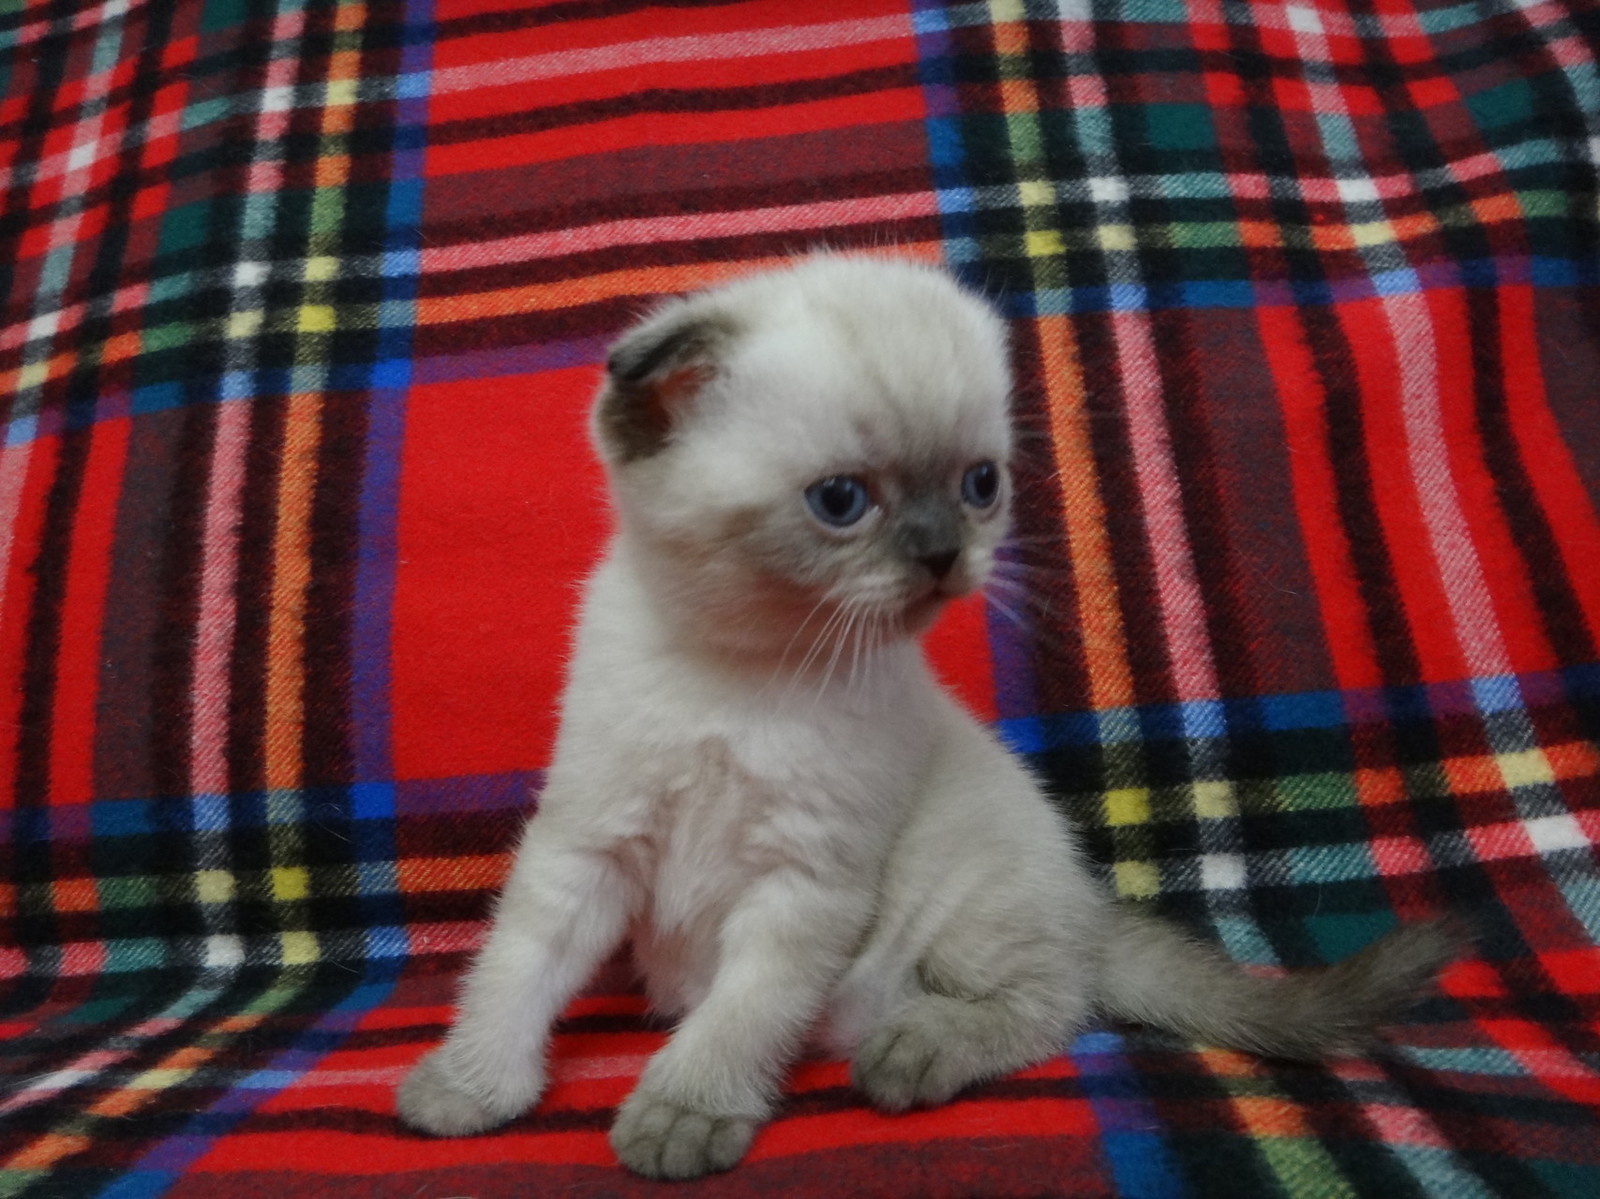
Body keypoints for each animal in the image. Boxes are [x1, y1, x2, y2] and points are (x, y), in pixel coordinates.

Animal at [393, 252, 1459, 1178]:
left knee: (1060, 1000)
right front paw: (471, 1090)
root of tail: (1087, 905)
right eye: (841, 500)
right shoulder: (590, 843)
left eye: (979, 483)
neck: (743, 676)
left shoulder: (806, 885)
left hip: (964, 909)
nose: (945, 553)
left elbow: (740, 1015)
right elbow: (516, 970)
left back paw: (915, 1052)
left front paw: (684, 1112)